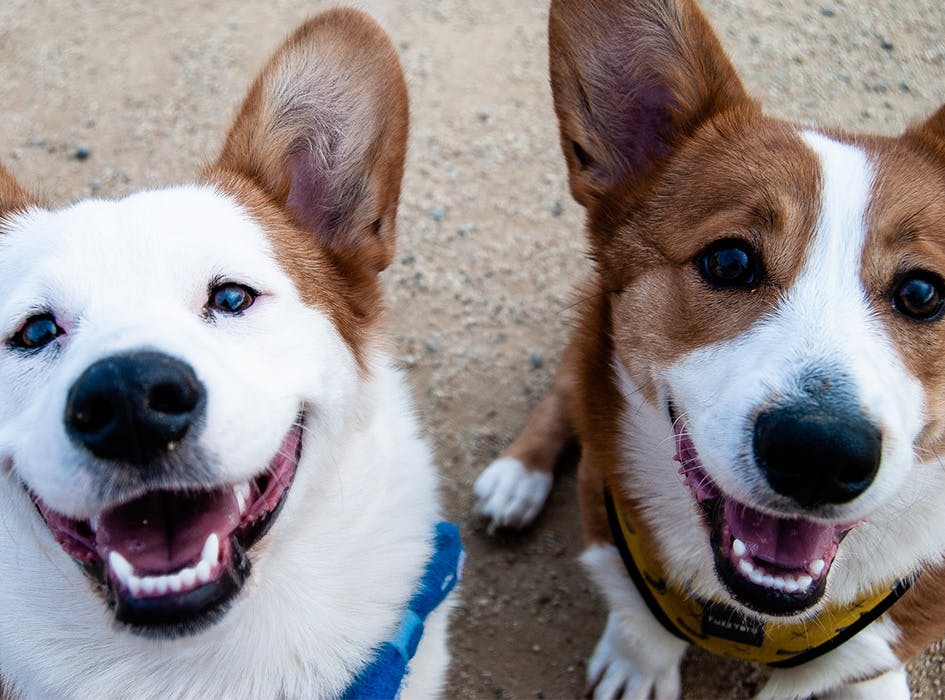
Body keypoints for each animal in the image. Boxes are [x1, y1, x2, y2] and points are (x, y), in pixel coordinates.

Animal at [476, 0, 944, 696]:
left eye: (921, 292)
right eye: (729, 261)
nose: (820, 453)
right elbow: (638, 616)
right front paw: (639, 662)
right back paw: (516, 478)